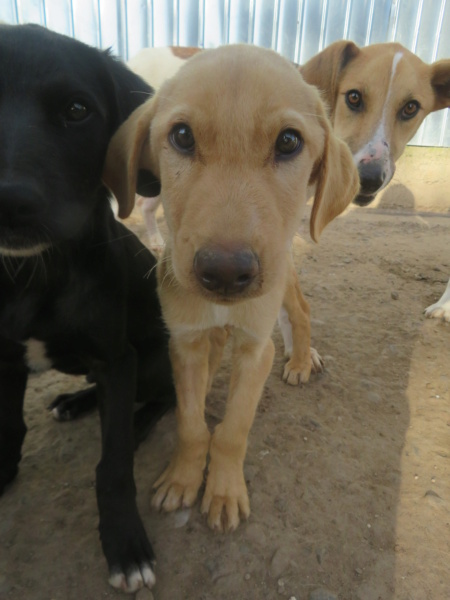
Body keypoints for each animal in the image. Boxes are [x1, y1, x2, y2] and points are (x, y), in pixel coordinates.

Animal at [0, 22, 173, 592]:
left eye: (77, 110)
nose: (6, 202)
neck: (34, 277)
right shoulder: (5, 358)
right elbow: (10, 428)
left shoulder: (117, 358)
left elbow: (113, 465)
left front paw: (125, 544)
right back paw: (75, 402)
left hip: (152, 360)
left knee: (163, 399)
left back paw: (136, 422)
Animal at [103, 44, 360, 528]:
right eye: (182, 136)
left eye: (289, 142)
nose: (224, 273)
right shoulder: (184, 342)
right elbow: (190, 422)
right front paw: (183, 478)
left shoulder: (256, 348)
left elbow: (233, 429)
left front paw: (222, 491)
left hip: (283, 274)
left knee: (300, 311)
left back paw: (301, 360)